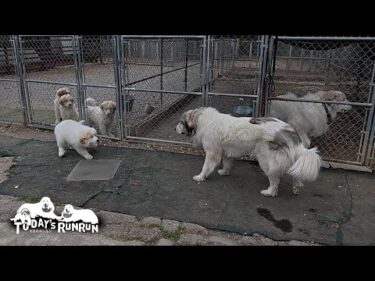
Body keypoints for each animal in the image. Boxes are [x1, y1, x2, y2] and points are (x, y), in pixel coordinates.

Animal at [176, 107, 324, 197]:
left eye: (181, 122)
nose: (174, 128)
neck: (201, 120)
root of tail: (288, 130)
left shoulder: (212, 152)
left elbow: (206, 166)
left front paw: (200, 177)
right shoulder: (226, 151)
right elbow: (227, 163)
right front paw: (224, 172)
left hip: (266, 161)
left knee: (275, 180)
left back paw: (269, 192)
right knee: (295, 173)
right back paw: (296, 187)